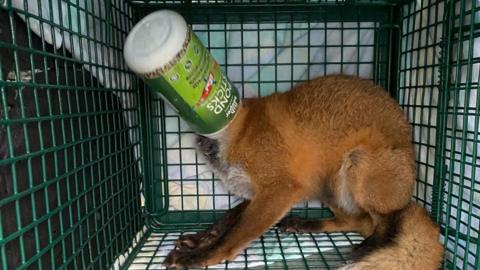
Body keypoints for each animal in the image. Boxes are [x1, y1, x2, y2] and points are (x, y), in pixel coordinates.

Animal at [162, 75, 442, 268]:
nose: (201, 141)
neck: (240, 135)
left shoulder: (279, 190)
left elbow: (233, 236)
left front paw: (199, 256)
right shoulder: (256, 194)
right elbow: (225, 222)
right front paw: (201, 239)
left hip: (357, 166)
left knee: (379, 223)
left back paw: (369, 246)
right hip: (328, 187)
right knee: (354, 221)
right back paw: (306, 224)